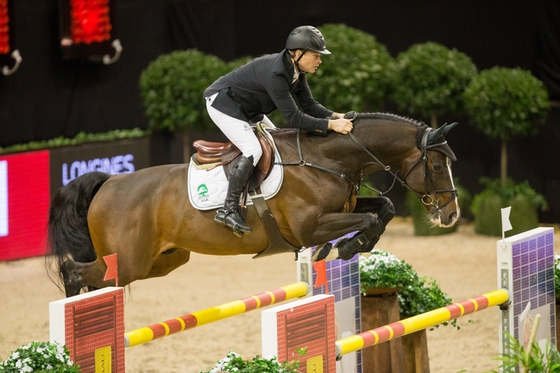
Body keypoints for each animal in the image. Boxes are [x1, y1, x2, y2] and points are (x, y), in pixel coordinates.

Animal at [47, 111, 460, 296]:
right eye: (438, 165)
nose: (451, 215)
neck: (326, 158)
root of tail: (109, 181)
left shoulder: (344, 210)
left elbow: (383, 209)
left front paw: (344, 247)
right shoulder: (310, 225)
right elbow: (369, 222)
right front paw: (342, 248)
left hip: (162, 261)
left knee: (95, 279)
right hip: (128, 262)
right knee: (75, 272)